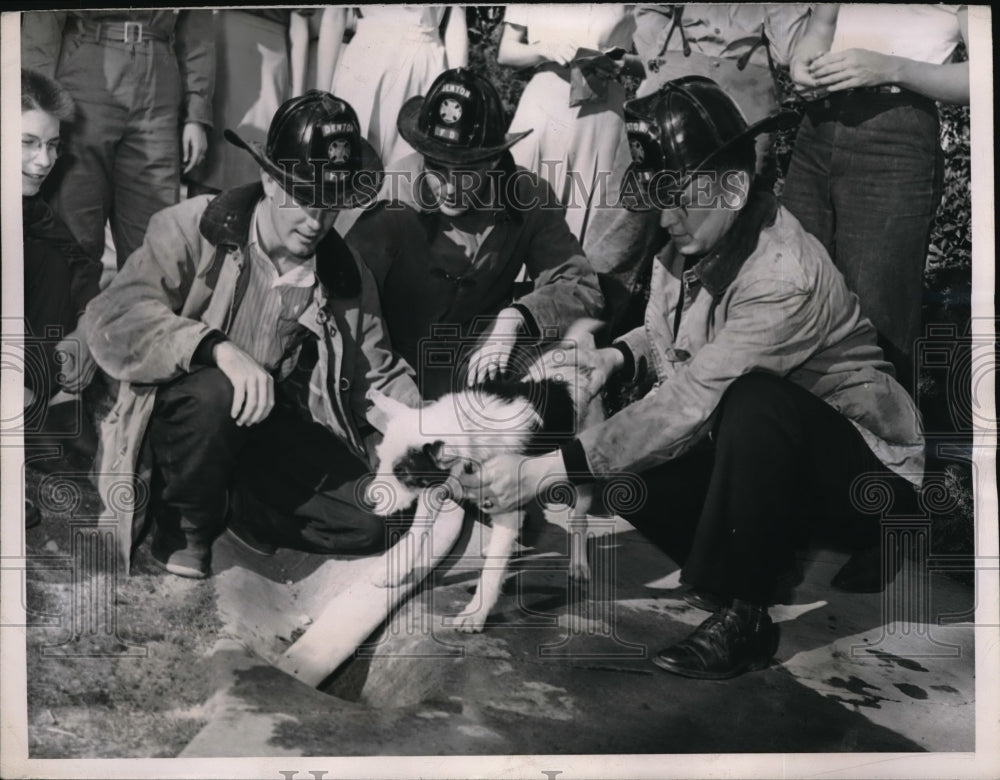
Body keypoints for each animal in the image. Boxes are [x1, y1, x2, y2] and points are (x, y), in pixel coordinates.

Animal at [368, 320, 600, 632]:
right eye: (380, 460)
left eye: (402, 474)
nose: (369, 502)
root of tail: (574, 372)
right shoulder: (438, 487)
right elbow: (416, 533)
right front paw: (397, 570)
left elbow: (490, 573)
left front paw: (475, 613)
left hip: (581, 466)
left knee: (579, 520)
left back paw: (578, 562)